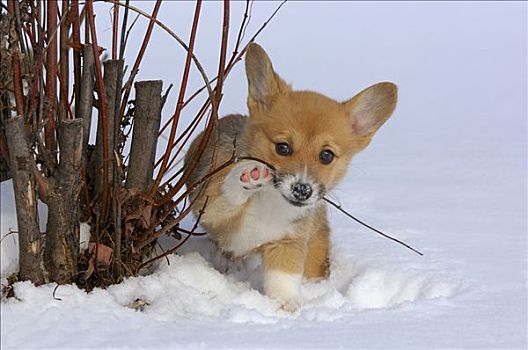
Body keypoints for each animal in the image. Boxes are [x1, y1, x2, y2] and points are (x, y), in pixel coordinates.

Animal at [186, 43, 396, 308]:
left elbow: (283, 279)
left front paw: (285, 307)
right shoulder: (211, 210)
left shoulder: (287, 243)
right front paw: (249, 175)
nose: (302, 190)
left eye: (326, 155)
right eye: (283, 148)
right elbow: (225, 196)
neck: (272, 201)